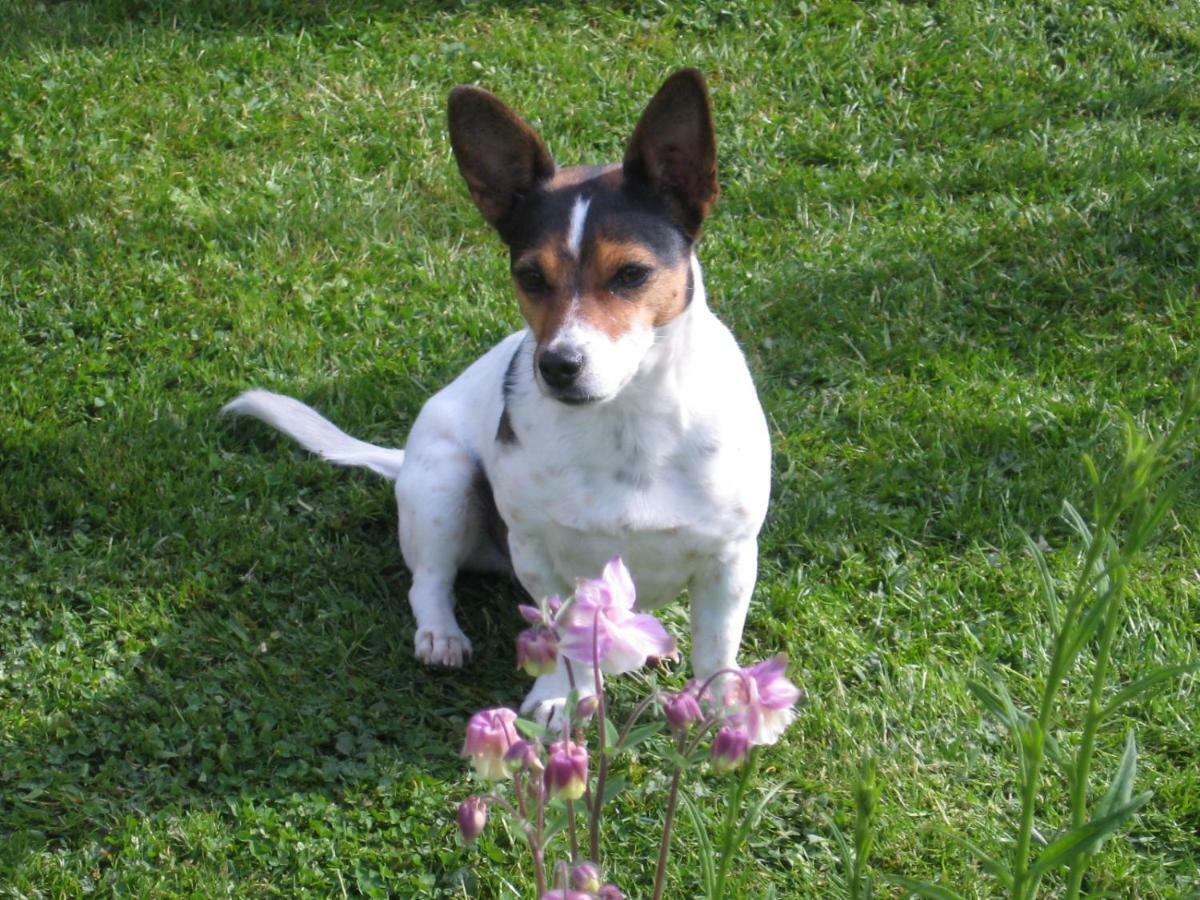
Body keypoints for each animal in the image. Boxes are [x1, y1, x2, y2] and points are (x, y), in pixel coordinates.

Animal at [224, 66, 768, 724]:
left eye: (632, 274)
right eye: (530, 276)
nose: (558, 365)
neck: (626, 426)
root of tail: (402, 459)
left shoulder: (730, 561)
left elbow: (717, 648)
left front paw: (723, 710)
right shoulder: (537, 553)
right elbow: (560, 634)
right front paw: (560, 696)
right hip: (442, 482)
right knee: (428, 580)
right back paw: (441, 634)